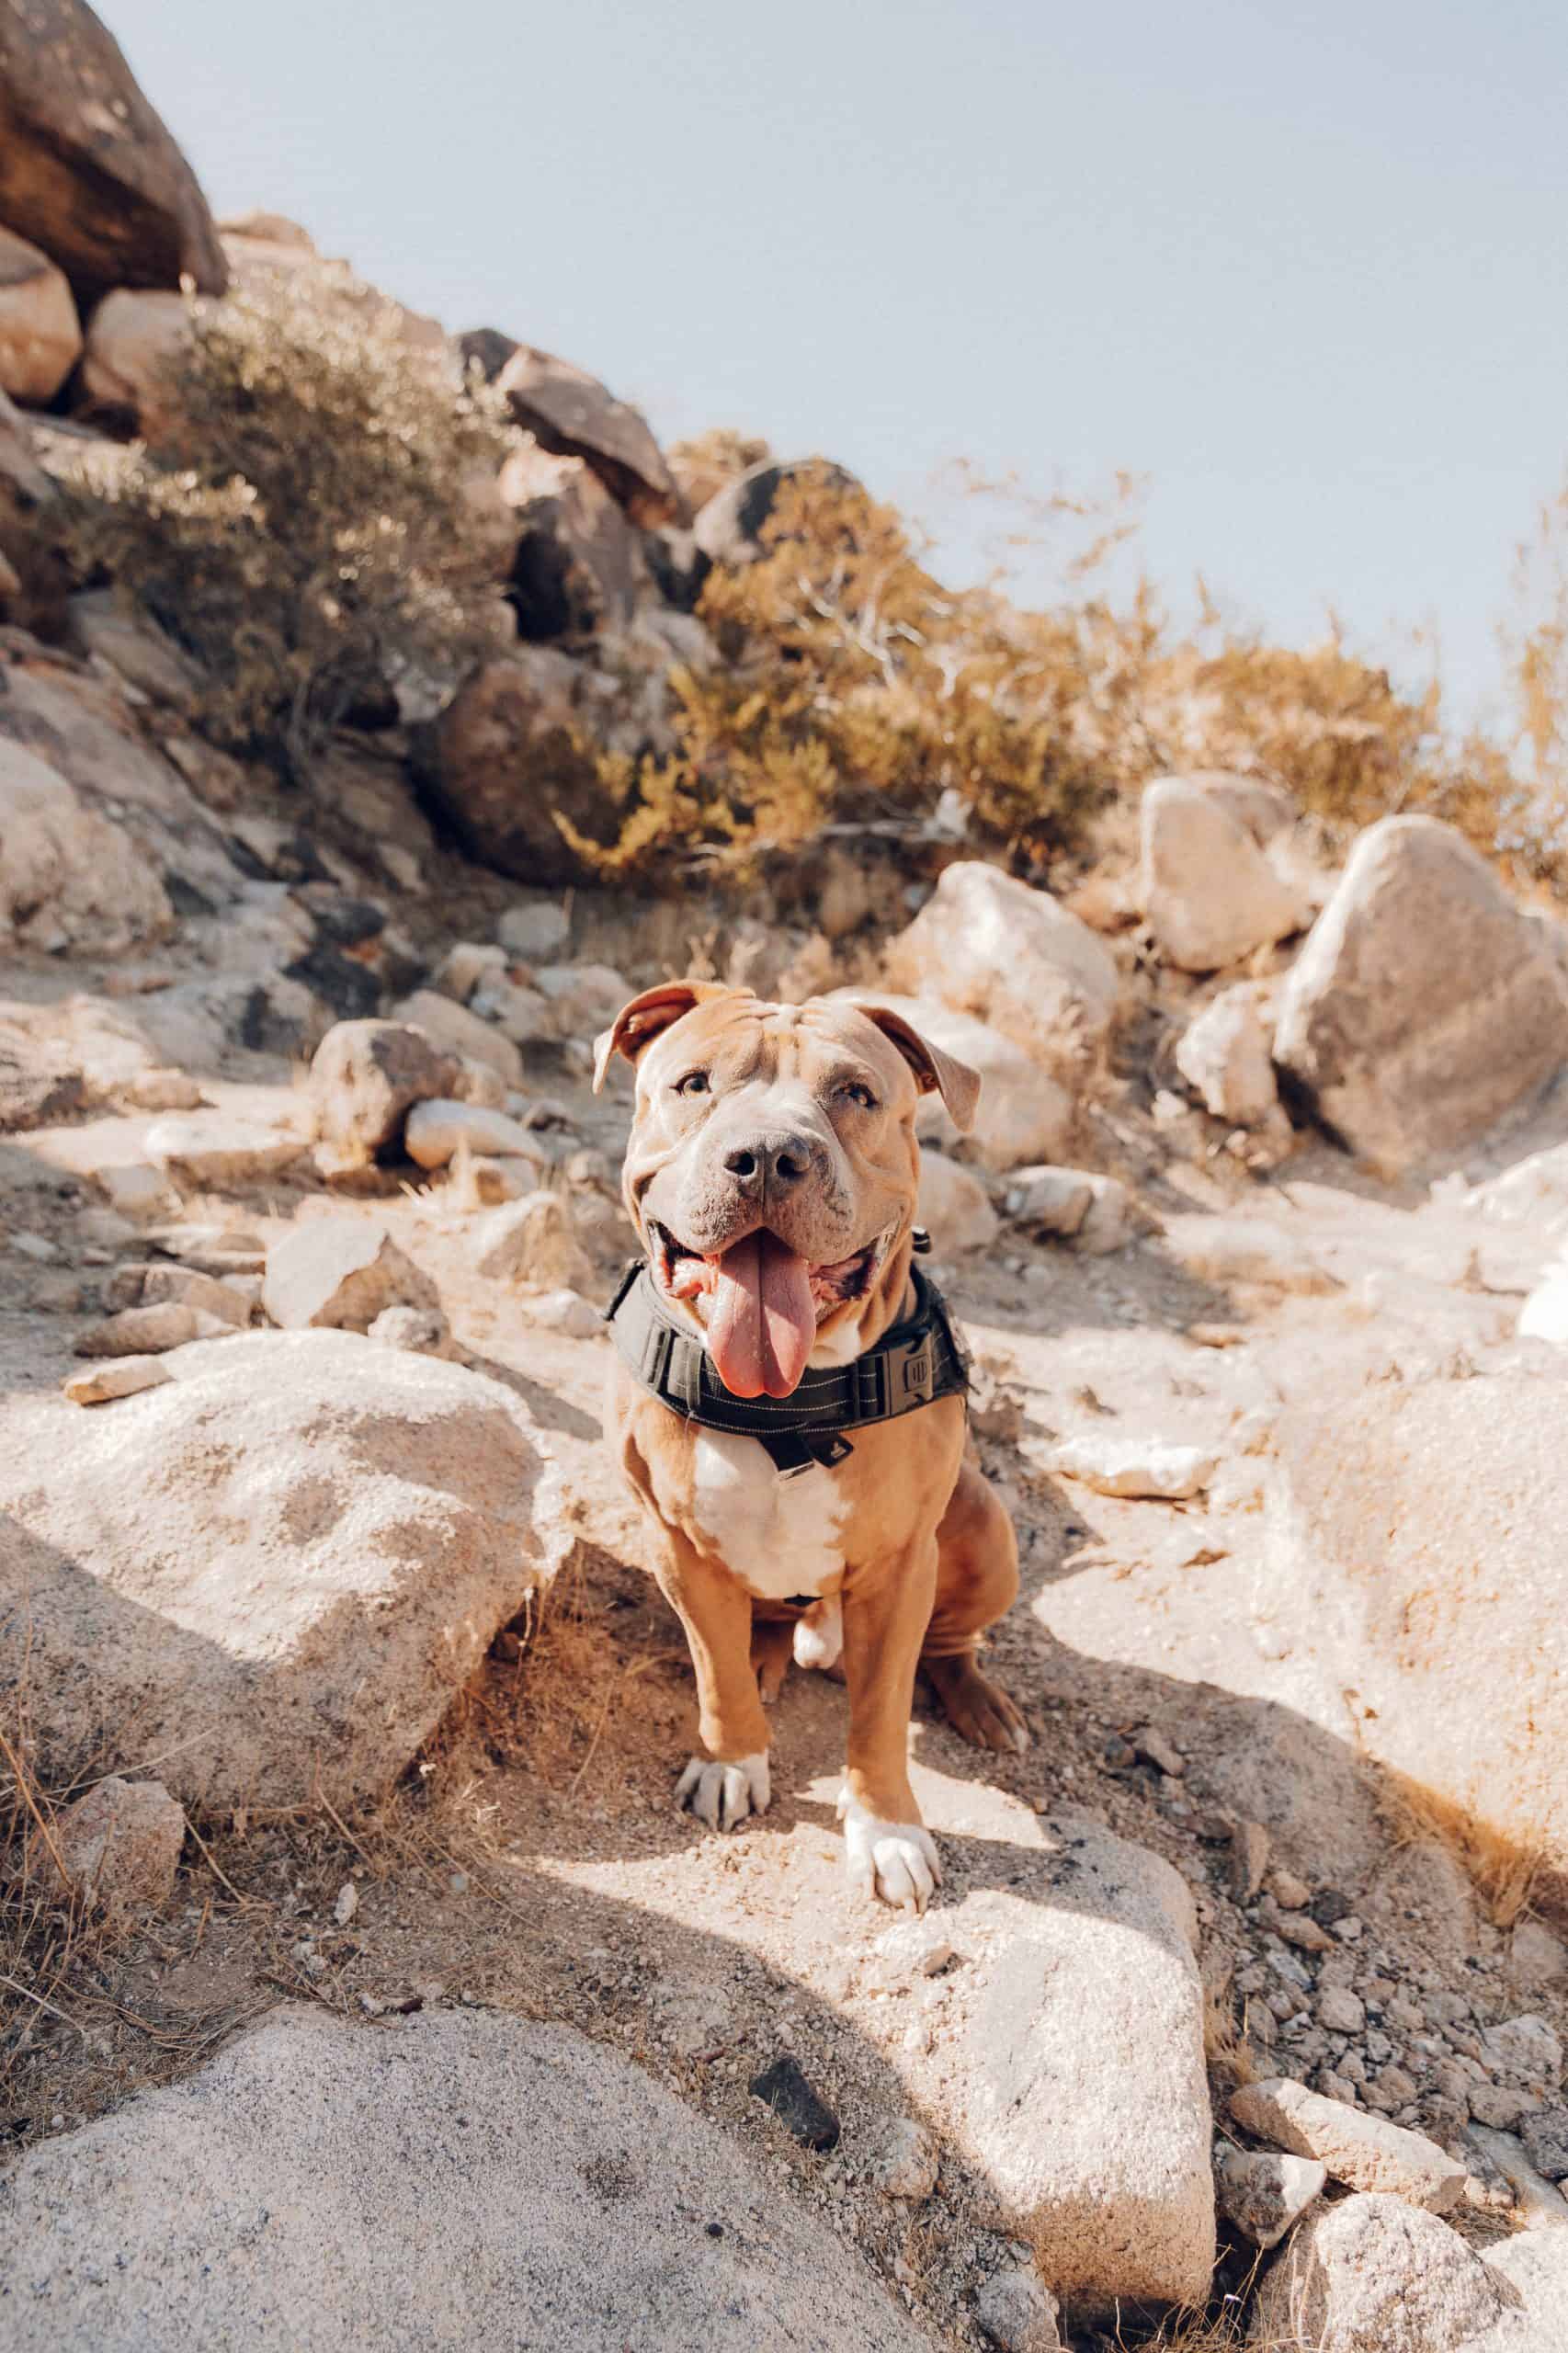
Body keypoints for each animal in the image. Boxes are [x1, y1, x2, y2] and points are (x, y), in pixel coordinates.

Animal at [588, 978, 1026, 1910]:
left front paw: (886, 1829)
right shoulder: (676, 1547)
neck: (784, 1407)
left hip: (981, 1525)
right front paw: (731, 1761)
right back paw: (768, 1656)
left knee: (948, 1642)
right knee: (754, 1632)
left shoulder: (900, 1570)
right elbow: (714, 1673)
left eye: (856, 1094)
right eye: (693, 1084)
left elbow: (881, 1712)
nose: (765, 1156)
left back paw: (977, 1699)